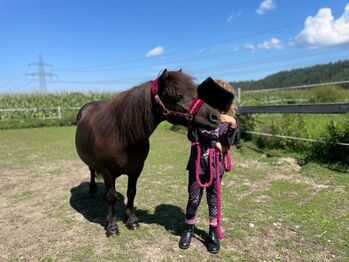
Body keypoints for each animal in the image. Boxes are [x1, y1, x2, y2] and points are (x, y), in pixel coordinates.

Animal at [75, 69, 219, 237]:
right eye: (178, 94)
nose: (215, 117)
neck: (121, 136)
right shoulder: (107, 171)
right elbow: (111, 197)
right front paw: (112, 227)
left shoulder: (136, 169)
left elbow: (131, 192)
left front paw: (131, 220)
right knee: (92, 171)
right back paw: (92, 190)